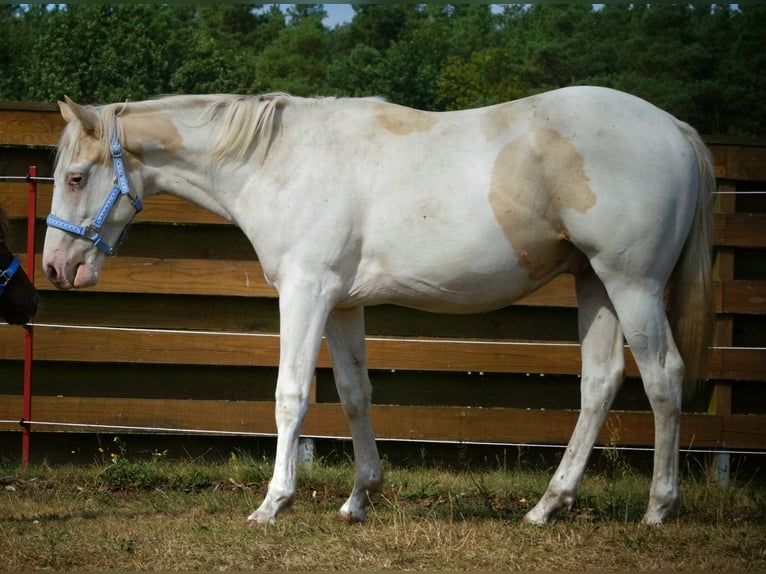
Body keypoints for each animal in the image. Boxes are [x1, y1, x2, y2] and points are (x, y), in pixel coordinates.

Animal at [42, 86, 715, 526]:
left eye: (75, 177)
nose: (55, 267)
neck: (277, 160)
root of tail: (676, 130)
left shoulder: (305, 292)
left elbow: (292, 395)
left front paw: (272, 504)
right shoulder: (341, 305)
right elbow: (353, 394)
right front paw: (359, 498)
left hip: (632, 284)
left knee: (663, 380)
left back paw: (658, 509)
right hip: (594, 283)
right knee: (599, 384)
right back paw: (547, 507)